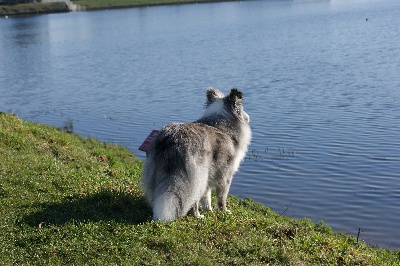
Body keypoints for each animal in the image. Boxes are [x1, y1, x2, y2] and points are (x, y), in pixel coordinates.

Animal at [141, 88, 250, 222]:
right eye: (242, 109)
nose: (248, 117)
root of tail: (173, 139)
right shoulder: (225, 176)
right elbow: (221, 198)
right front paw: (224, 211)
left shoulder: (209, 176)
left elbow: (207, 197)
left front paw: (209, 210)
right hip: (197, 177)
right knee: (193, 200)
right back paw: (198, 215)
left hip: (156, 172)